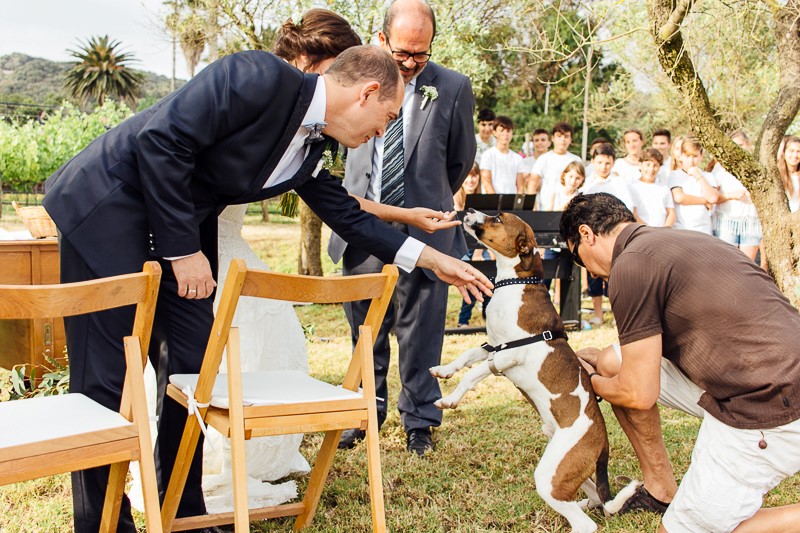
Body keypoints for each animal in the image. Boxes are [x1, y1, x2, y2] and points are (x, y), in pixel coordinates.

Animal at [428, 210, 640, 528]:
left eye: (498, 218)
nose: (469, 211)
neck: (513, 284)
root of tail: (603, 442)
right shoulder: (492, 345)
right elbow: (465, 358)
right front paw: (444, 370)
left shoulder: (506, 355)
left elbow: (473, 374)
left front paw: (450, 399)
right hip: (567, 467)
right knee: (591, 497)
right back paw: (585, 502)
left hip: (549, 473)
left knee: (586, 524)